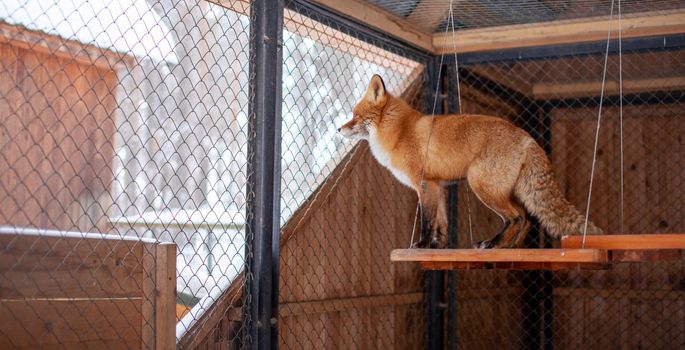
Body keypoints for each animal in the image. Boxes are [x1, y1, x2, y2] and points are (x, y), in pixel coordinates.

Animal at [340, 75, 600, 247]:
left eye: (355, 116)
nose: (339, 129)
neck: (400, 132)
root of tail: (527, 137)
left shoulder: (424, 184)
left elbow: (427, 221)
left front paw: (421, 245)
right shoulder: (437, 186)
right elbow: (441, 224)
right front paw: (437, 248)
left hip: (480, 184)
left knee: (516, 217)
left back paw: (494, 244)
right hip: (505, 190)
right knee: (526, 219)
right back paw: (508, 248)